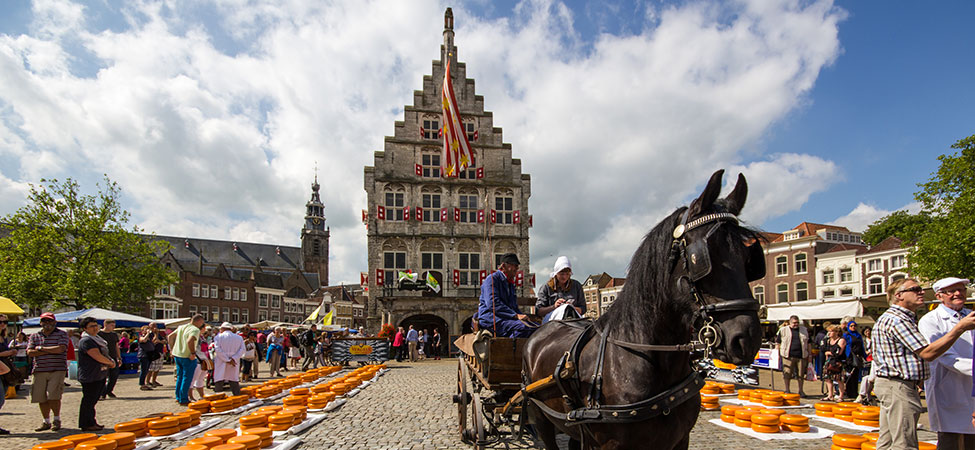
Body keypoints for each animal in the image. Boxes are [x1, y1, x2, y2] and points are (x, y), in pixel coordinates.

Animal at [524, 170, 768, 450]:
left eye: (750, 258)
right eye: (700, 257)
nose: (747, 337)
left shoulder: (680, 439)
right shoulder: (611, 445)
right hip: (540, 416)